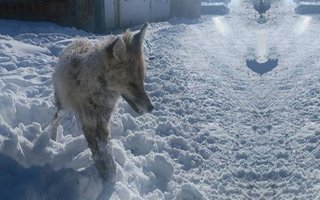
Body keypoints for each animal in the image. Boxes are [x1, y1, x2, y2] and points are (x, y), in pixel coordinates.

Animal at [51, 23, 154, 181]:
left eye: (142, 80)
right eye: (131, 84)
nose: (151, 107)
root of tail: (76, 41)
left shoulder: (103, 122)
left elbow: (107, 151)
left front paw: (112, 177)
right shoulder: (88, 123)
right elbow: (98, 155)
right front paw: (107, 180)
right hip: (63, 106)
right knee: (55, 119)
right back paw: (52, 140)